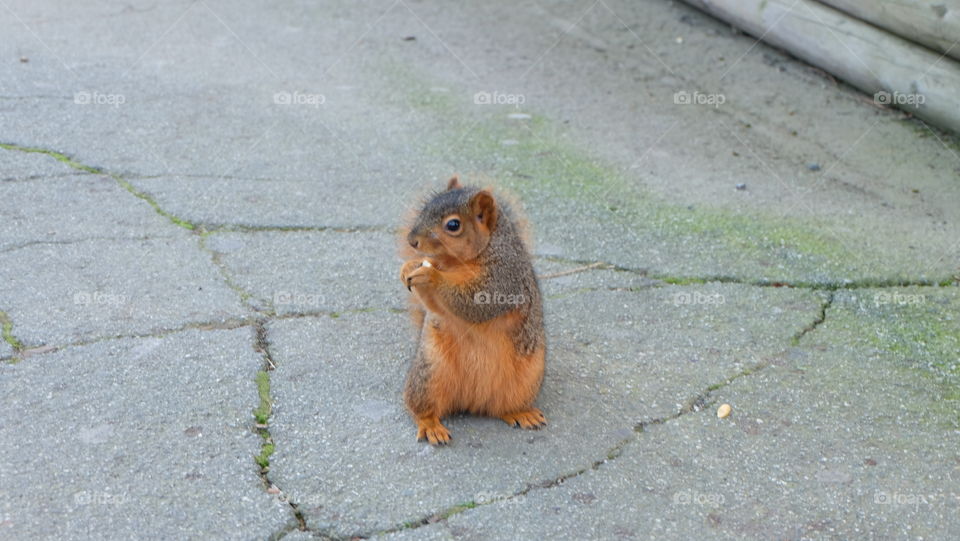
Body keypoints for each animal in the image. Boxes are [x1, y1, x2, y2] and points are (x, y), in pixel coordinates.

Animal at [398, 175, 548, 446]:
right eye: (425, 207)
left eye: (453, 225)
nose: (412, 241)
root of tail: (472, 400)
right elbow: (436, 307)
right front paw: (409, 266)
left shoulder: (503, 278)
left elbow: (474, 304)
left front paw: (431, 276)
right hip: (429, 373)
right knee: (422, 408)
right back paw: (430, 424)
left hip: (525, 381)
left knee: (502, 408)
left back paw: (520, 413)